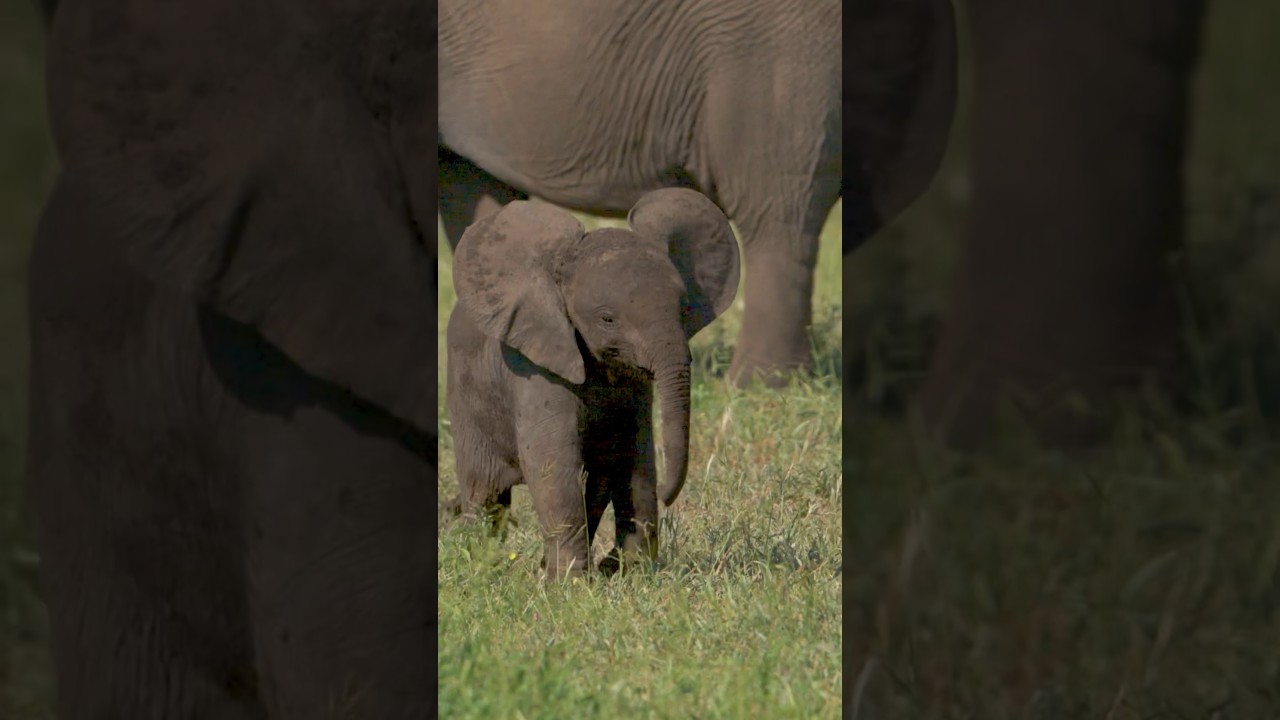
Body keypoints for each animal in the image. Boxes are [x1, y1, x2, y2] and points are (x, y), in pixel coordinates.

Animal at [443, 189, 740, 580]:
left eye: (683, 308)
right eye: (607, 319)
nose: (668, 494)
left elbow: (633, 455)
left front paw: (627, 571)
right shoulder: (534, 366)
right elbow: (553, 463)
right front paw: (570, 582)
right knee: (484, 489)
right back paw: (478, 559)